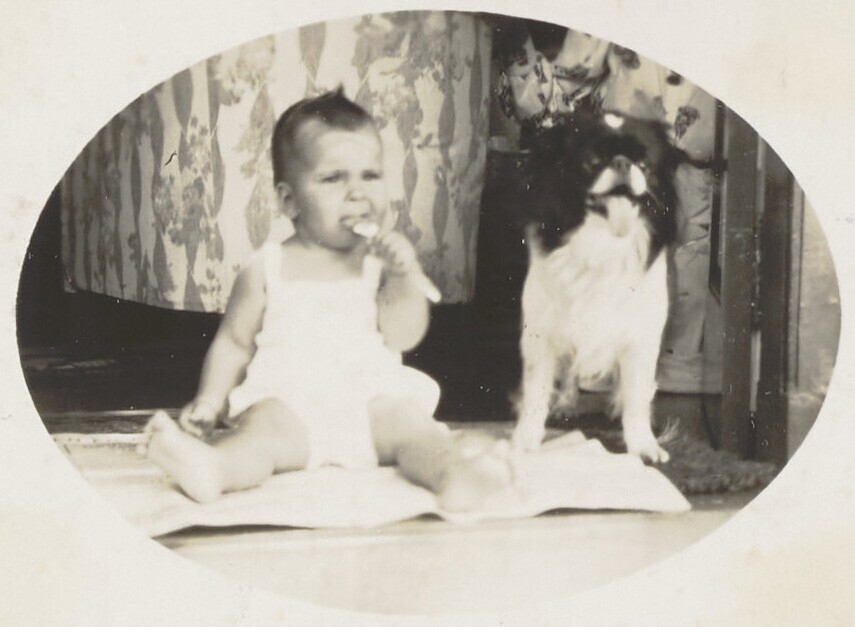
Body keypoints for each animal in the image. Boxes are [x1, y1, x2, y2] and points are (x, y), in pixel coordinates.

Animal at [511, 109, 683, 463]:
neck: (603, 244)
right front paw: (526, 441)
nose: (622, 163)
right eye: (591, 162)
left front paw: (643, 445)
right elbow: (536, 391)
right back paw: (565, 403)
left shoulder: (641, 338)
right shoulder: (540, 335)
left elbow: (637, 395)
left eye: (643, 164)